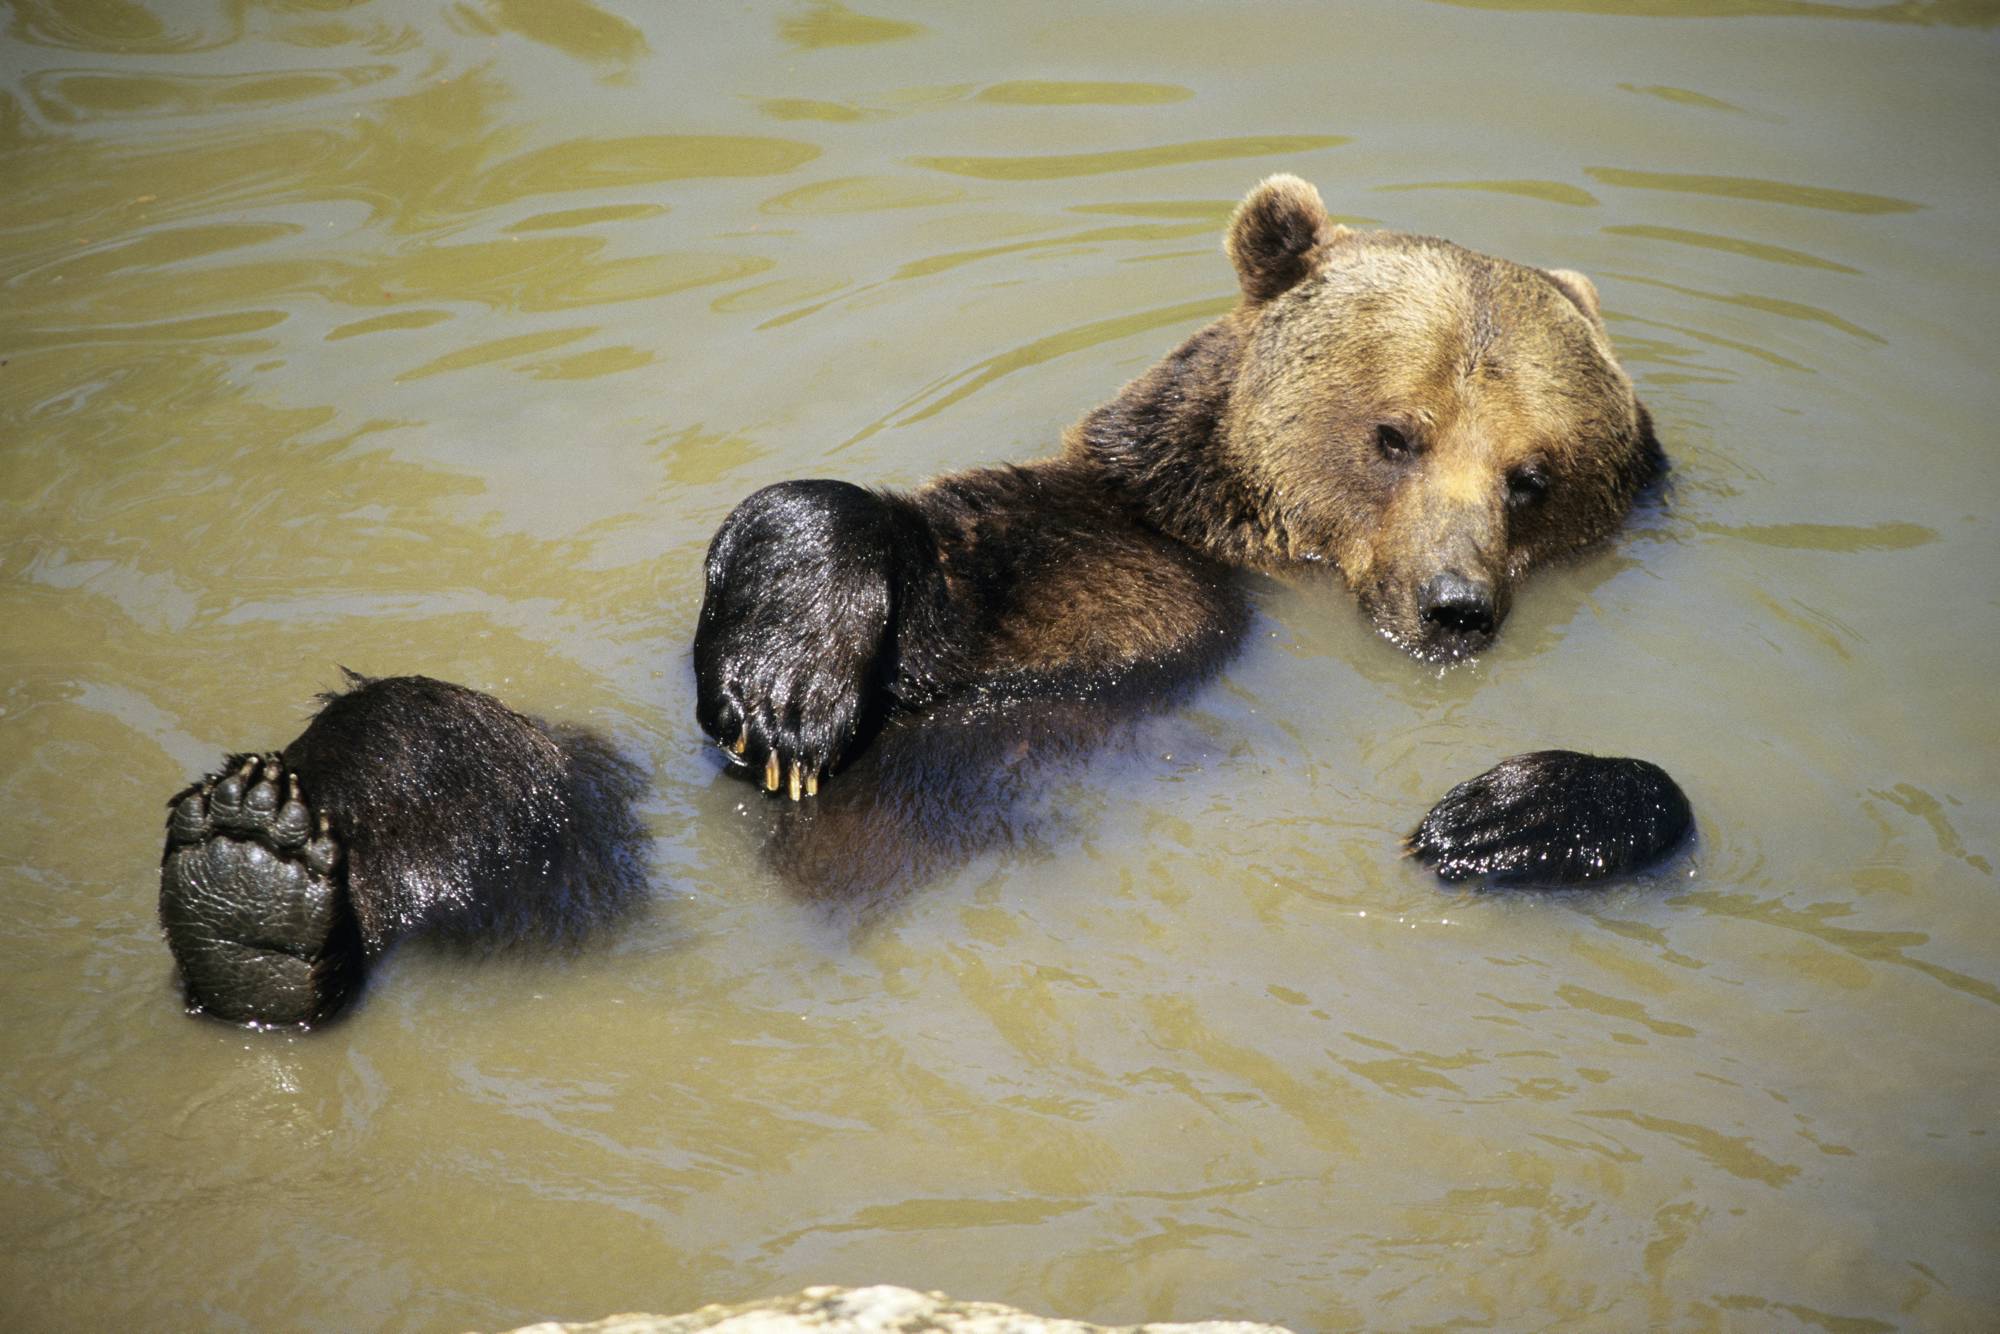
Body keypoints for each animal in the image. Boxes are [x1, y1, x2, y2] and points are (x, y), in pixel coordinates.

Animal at [152, 175, 1688, 1032]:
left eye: (1535, 472)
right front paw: (784, 694)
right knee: (451, 741)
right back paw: (256, 867)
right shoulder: (1095, 544)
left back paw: (259, 910)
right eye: (1395, 432)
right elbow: (872, 541)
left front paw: (1511, 808)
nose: (1454, 603)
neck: (1278, 571)